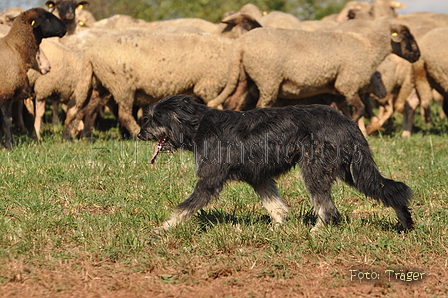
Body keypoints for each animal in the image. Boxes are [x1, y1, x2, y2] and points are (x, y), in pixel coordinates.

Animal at [0, 8, 66, 149]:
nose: (65, 28)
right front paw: (10, 144)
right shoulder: (6, 91)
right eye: (47, 18)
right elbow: (7, 120)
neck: (16, 49)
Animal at [137, 94, 412, 234]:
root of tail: (348, 123)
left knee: (329, 210)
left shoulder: (209, 180)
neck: (198, 125)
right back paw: (406, 222)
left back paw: (316, 233)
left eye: (153, 118)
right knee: (391, 190)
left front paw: (164, 228)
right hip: (352, 171)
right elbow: (274, 204)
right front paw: (279, 226)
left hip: (315, 171)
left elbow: (184, 207)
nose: (138, 134)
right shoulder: (258, 177)